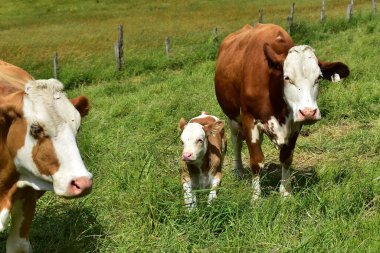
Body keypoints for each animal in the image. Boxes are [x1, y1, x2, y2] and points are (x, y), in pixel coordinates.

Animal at [215, 24, 348, 201]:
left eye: (319, 77)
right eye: (287, 78)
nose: (309, 112)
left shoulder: (295, 125)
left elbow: (286, 158)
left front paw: (285, 192)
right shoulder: (249, 119)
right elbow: (256, 160)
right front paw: (256, 197)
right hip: (233, 116)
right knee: (236, 140)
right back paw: (238, 169)